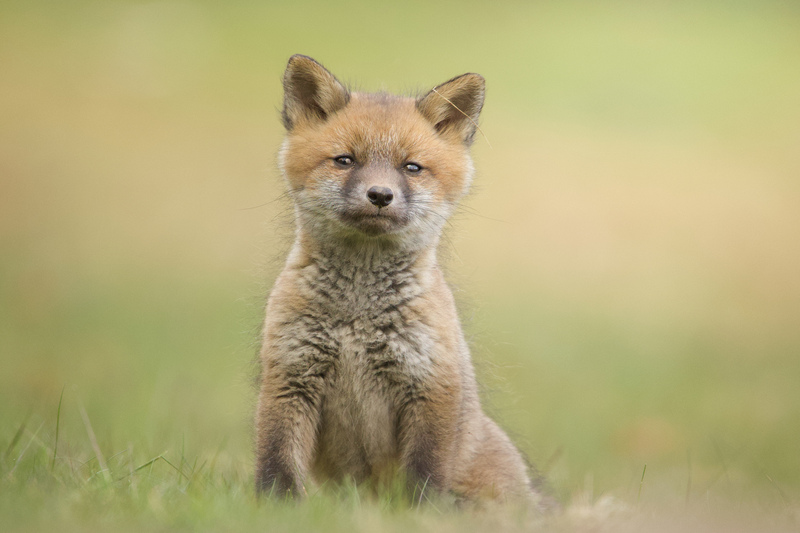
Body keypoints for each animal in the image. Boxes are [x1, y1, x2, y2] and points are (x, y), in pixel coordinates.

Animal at [255, 54, 550, 507]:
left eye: (411, 168)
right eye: (345, 160)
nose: (380, 195)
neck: (357, 316)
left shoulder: (430, 385)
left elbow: (424, 475)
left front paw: (419, 514)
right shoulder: (288, 375)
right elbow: (277, 463)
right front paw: (277, 508)